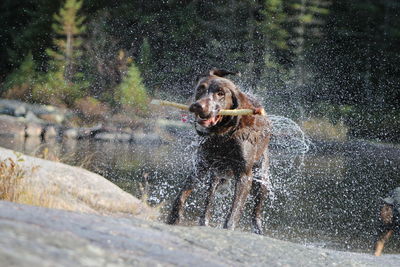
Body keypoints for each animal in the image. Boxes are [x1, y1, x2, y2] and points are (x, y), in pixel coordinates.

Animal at [166, 69, 272, 234]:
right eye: (200, 88)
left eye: (220, 93)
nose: (198, 106)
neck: (222, 136)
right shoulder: (201, 166)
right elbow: (182, 195)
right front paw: (173, 217)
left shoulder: (244, 176)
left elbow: (234, 211)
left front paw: (229, 228)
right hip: (216, 176)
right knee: (208, 201)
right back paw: (203, 221)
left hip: (261, 178)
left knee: (257, 211)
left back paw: (258, 229)